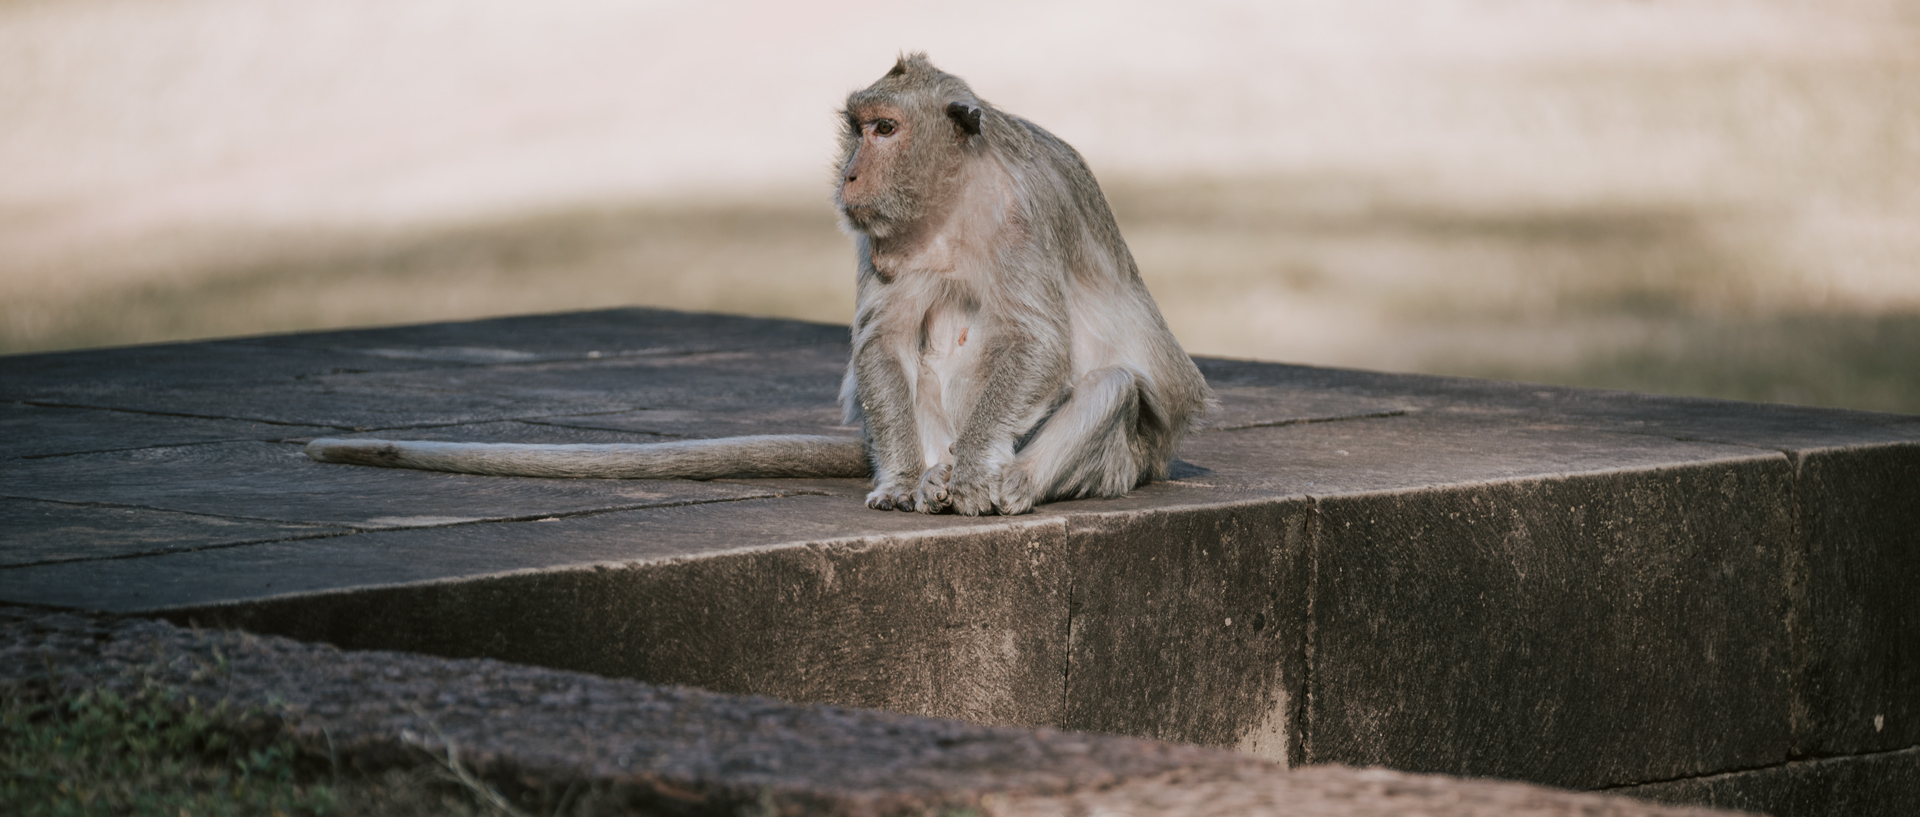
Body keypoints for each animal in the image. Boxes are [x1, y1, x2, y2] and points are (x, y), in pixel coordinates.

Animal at [305, 54, 1205, 517]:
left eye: (885, 128)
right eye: (857, 126)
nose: (848, 172)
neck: (951, 197)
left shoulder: (1023, 212)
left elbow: (1043, 340)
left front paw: (983, 474)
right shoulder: (879, 237)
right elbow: (883, 338)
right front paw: (904, 480)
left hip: (1125, 460)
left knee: (1113, 384)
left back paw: (1005, 482)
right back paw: (927, 474)